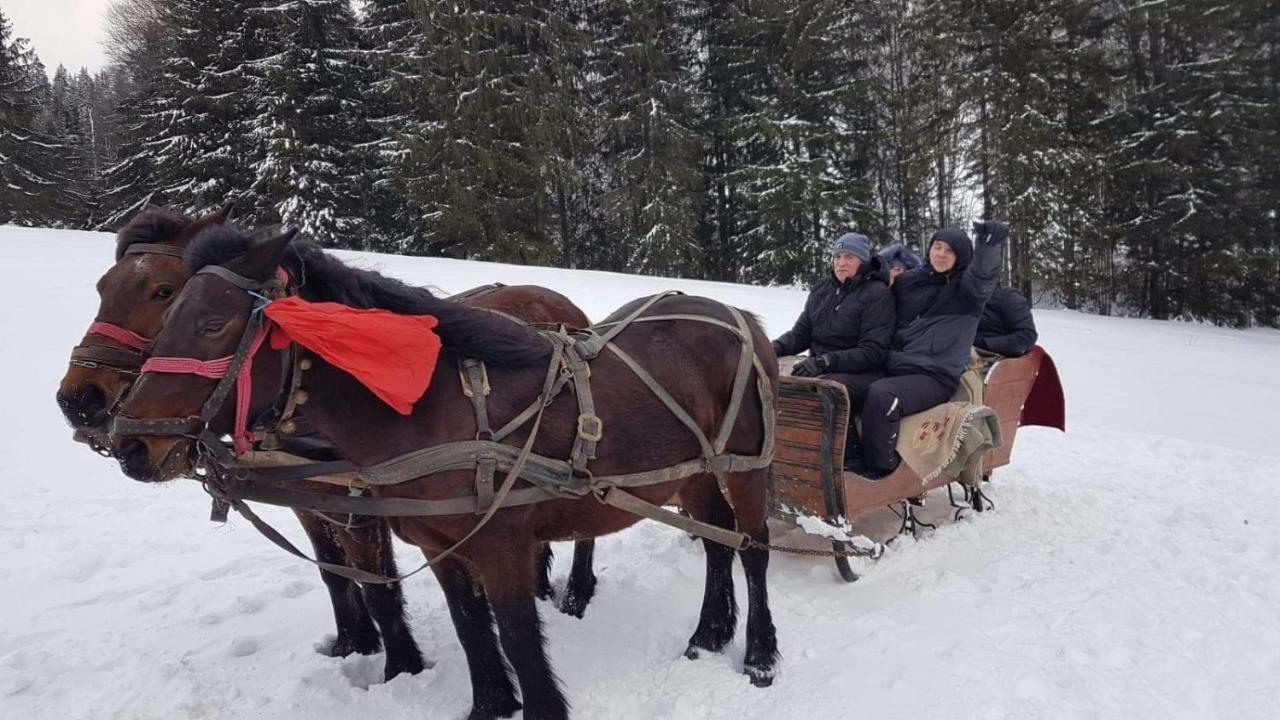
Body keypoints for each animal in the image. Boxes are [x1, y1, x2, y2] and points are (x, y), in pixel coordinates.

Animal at [56, 208, 599, 681]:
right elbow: (333, 575)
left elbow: (379, 589)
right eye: (103, 287)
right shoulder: (309, 503)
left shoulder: (361, 509)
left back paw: (576, 593)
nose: (77, 399)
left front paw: (401, 666)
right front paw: (353, 642)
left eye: (163, 292)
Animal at [110, 228, 773, 717]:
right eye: (169, 310)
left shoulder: (501, 545)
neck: (430, 406)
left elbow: (518, 638)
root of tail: (736, 310)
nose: (129, 443)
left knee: (753, 550)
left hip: (747, 469)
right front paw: (491, 706)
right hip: (693, 473)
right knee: (718, 545)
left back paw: (761, 655)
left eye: (211, 323)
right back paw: (709, 633)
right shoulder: (441, 544)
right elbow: (471, 628)